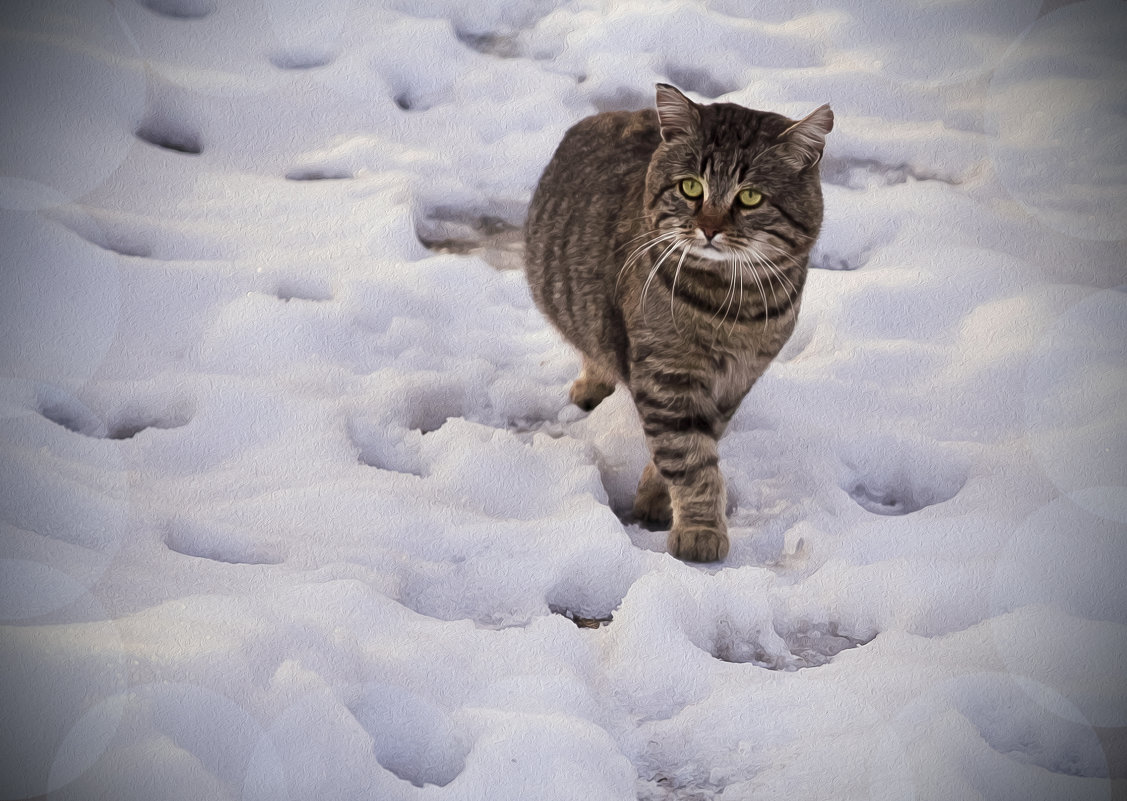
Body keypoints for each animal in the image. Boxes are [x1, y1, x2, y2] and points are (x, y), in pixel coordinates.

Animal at [522, 84, 833, 563]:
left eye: (750, 197)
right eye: (690, 187)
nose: (708, 228)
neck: (733, 303)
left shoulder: (736, 379)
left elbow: (693, 444)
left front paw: (657, 497)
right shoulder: (667, 371)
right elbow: (688, 456)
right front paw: (700, 529)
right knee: (594, 345)